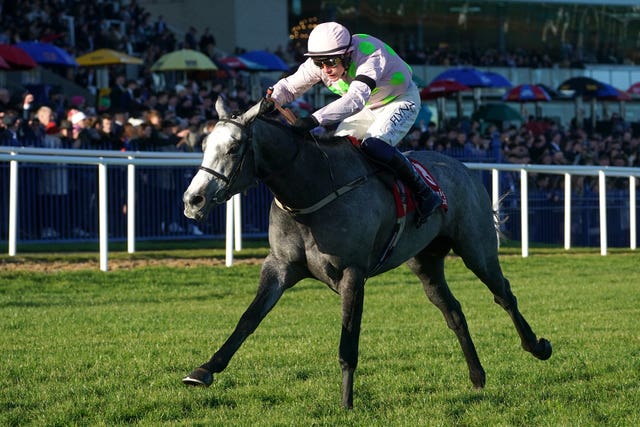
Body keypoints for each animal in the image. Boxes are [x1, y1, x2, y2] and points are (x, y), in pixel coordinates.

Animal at [180, 98, 552, 410]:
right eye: (204, 146)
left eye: (233, 147)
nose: (193, 200)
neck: (311, 191)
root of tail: (462, 169)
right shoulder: (280, 266)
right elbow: (248, 319)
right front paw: (204, 370)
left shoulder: (352, 273)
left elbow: (348, 341)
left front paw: (346, 402)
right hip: (426, 262)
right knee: (453, 311)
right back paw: (477, 376)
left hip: (476, 248)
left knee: (504, 295)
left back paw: (537, 346)